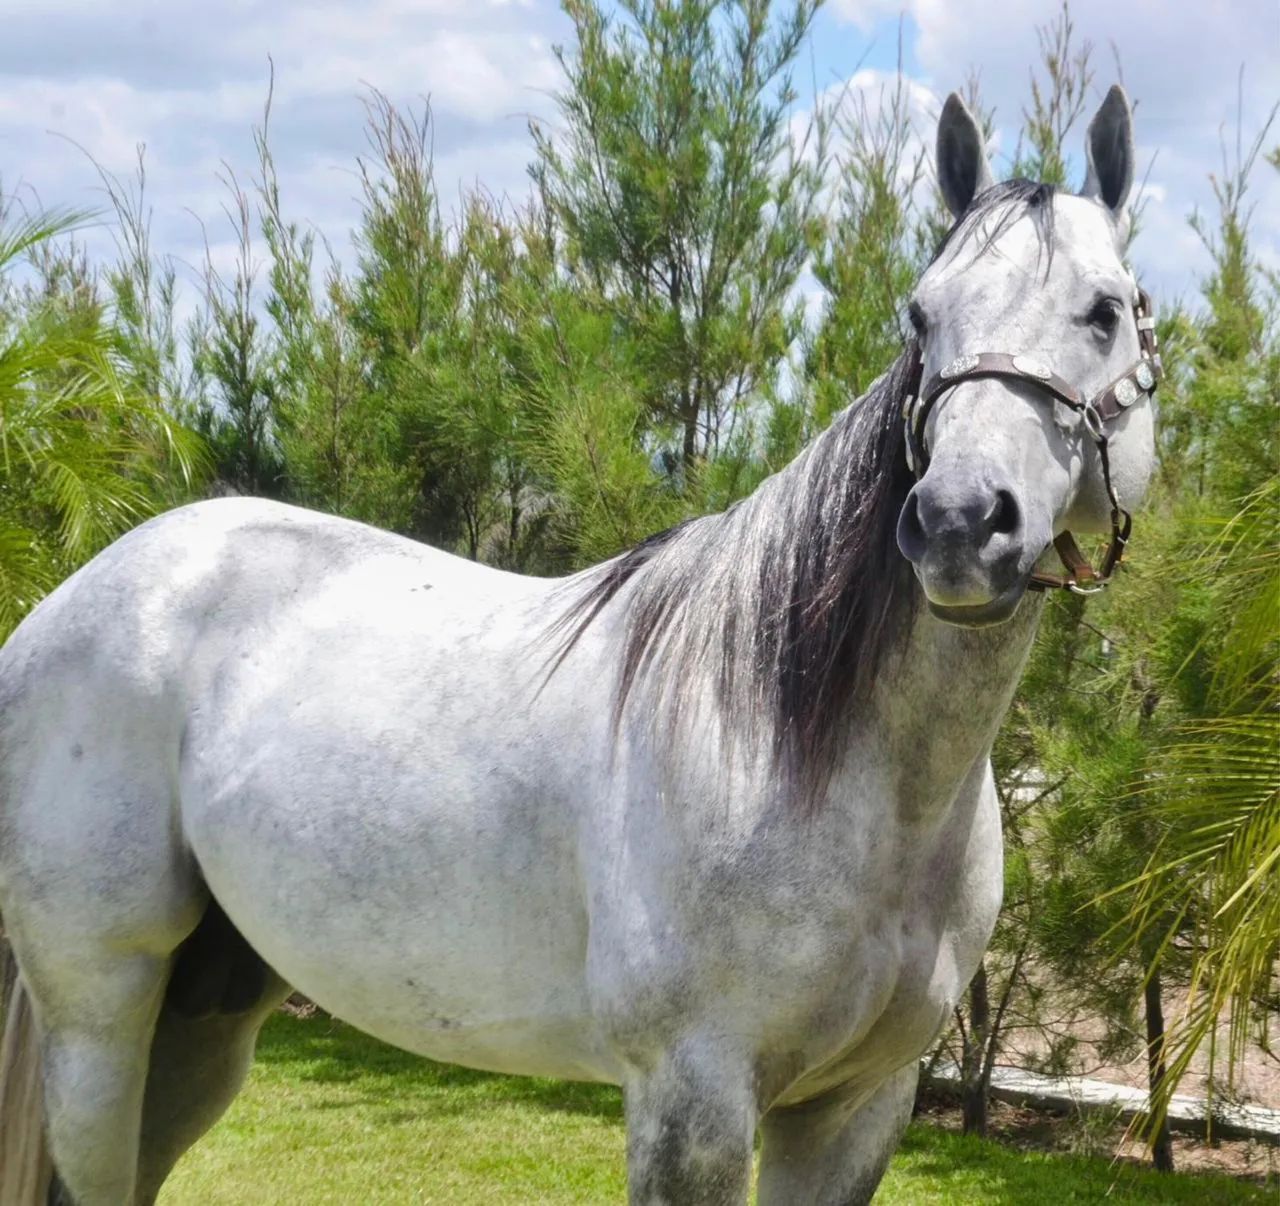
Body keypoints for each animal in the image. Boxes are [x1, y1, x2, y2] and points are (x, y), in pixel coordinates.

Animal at [0, 86, 1156, 1205]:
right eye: (921, 315)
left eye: (1105, 312)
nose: (960, 523)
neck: (821, 759)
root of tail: (76, 598)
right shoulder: (692, 1100)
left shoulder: (856, 1108)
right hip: (98, 1008)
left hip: (205, 1011)